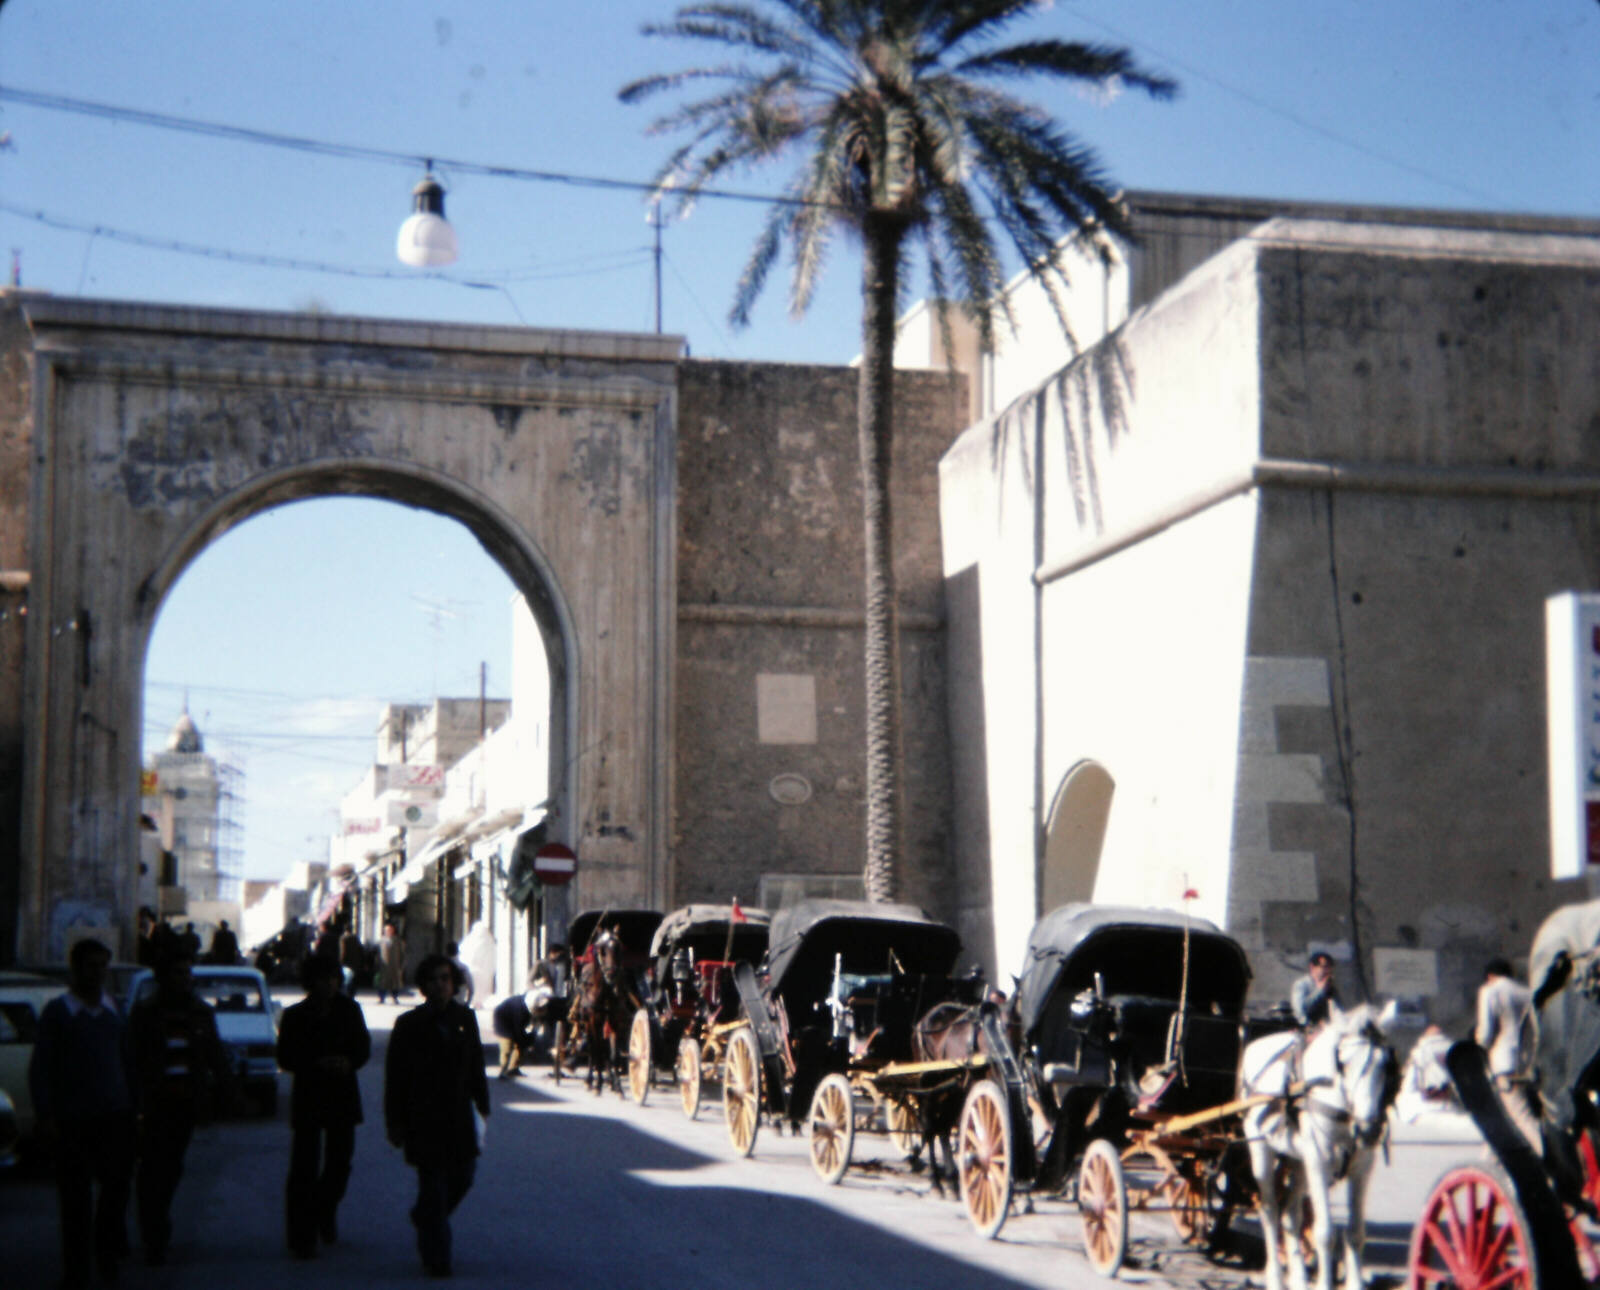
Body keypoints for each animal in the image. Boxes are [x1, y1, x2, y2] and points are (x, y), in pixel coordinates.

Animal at [1241, 1005, 1395, 1290]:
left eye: (1384, 1064)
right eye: (1343, 1063)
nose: (1368, 1129)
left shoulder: (1361, 1167)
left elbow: (1356, 1232)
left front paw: (1355, 1283)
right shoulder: (1320, 1163)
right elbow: (1325, 1233)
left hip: (1300, 1161)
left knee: (1291, 1216)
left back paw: (1299, 1278)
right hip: (1261, 1150)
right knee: (1270, 1211)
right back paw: (1275, 1278)